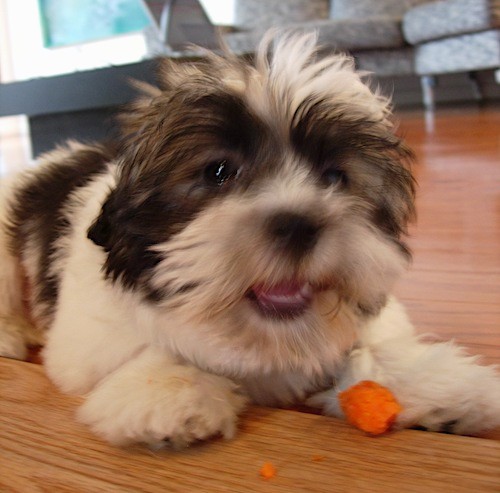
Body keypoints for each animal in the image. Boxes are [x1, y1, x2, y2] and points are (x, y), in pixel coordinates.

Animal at [0, 31, 500, 446]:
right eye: (219, 171)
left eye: (335, 177)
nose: (298, 224)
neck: (265, 340)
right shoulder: (87, 336)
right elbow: (145, 346)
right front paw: (171, 389)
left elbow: (372, 345)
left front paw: (431, 380)